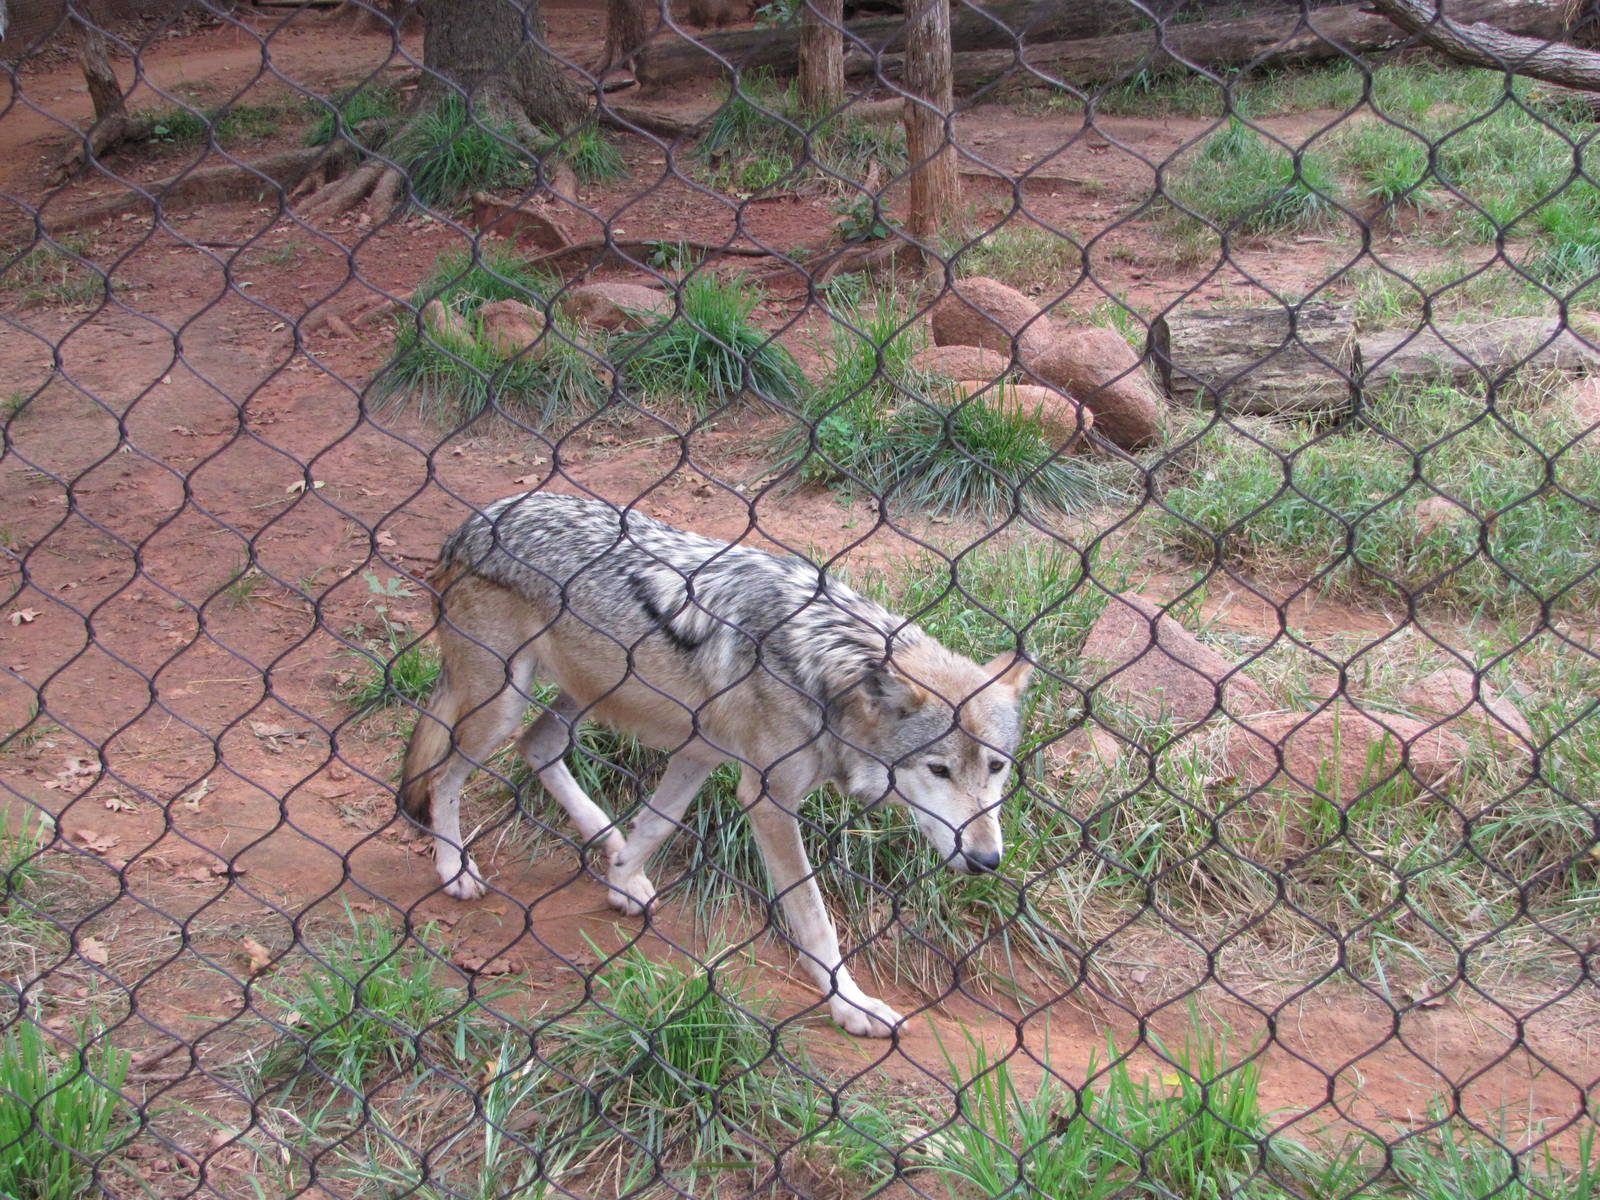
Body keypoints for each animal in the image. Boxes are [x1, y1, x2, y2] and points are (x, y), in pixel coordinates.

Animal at [399, 492, 1032, 1037]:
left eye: (997, 768)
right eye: (939, 771)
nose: (987, 861)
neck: (823, 670)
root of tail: (473, 523)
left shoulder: (698, 754)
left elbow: (657, 825)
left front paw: (621, 878)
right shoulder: (767, 800)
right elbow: (815, 920)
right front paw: (851, 1006)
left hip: (585, 697)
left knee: (538, 748)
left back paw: (610, 847)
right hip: (502, 702)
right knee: (444, 777)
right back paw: (454, 869)